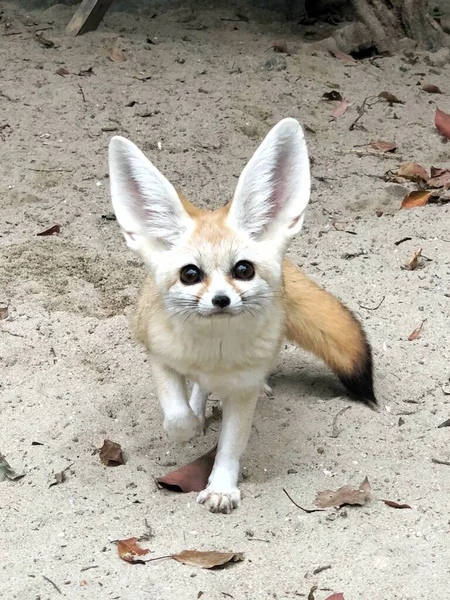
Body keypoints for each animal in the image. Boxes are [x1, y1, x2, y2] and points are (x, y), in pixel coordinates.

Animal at [108, 119, 376, 512]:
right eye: (190, 274)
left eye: (243, 270)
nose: (220, 300)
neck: (214, 355)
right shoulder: (157, 355)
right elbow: (176, 412)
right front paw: (186, 428)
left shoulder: (242, 391)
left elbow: (231, 446)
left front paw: (221, 486)